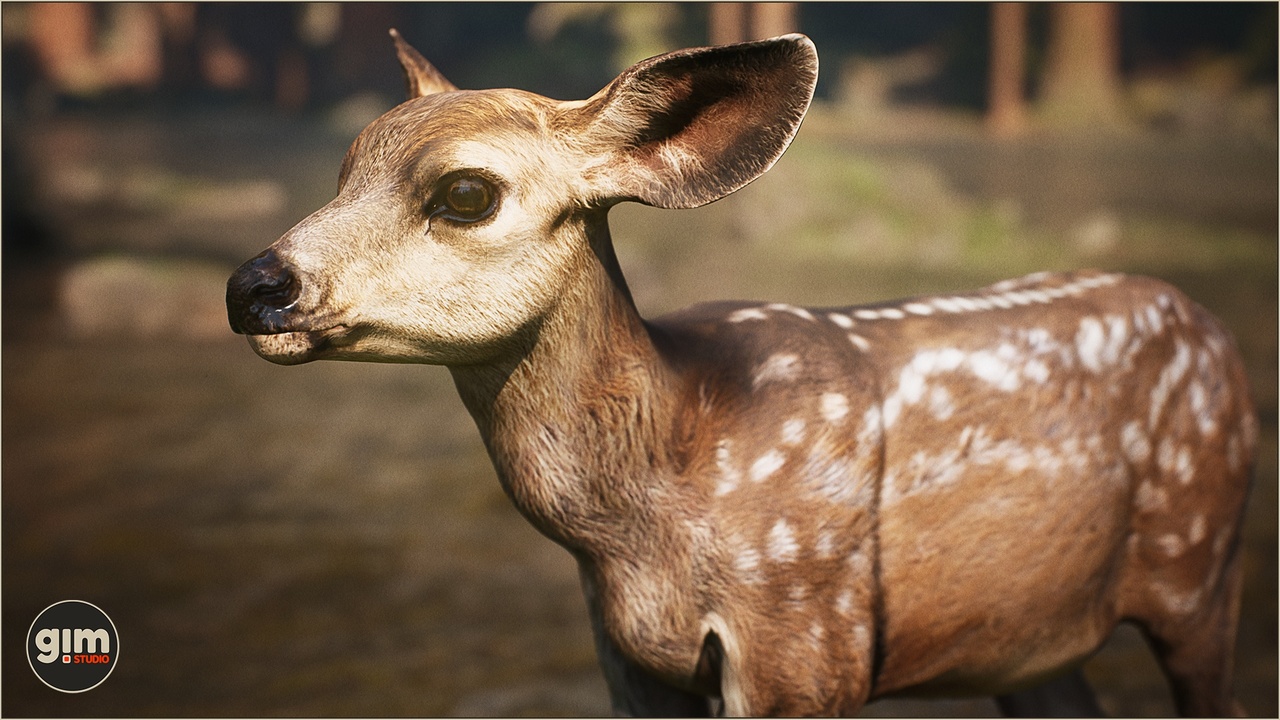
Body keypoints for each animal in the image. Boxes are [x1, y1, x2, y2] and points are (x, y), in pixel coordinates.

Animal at [226, 31, 1257, 717]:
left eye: (466, 192)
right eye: (345, 167)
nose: (253, 287)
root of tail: (1213, 326)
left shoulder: (807, 640)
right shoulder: (631, 660)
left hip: (1199, 566)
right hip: (1031, 642)